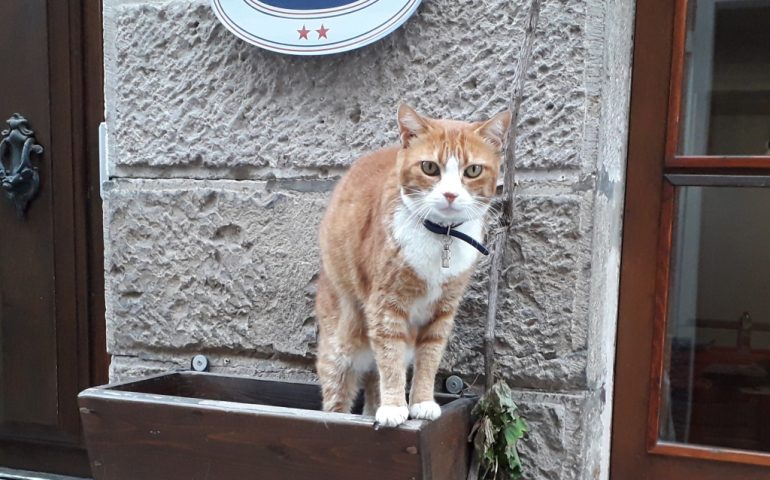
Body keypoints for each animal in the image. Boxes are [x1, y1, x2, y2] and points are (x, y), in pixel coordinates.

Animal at [314, 105, 510, 428]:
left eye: (472, 171)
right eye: (430, 168)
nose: (450, 195)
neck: (441, 235)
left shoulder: (443, 310)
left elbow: (429, 357)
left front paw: (421, 403)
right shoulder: (386, 305)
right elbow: (390, 357)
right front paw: (395, 407)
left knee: (374, 380)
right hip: (340, 345)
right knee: (338, 394)